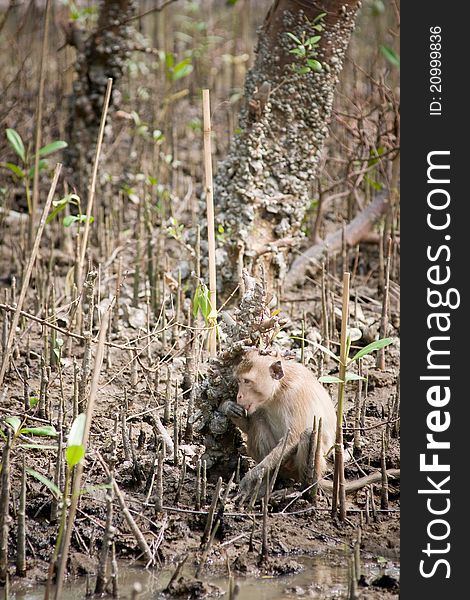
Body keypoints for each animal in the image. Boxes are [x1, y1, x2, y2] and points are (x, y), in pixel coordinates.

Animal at [221, 352, 400, 502]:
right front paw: (229, 408)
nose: (239, 396)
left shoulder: (295, 395)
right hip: (284, 466)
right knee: (259, 422)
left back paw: (301, 490)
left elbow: (292, 439)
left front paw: (250, 477)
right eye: (239, 381)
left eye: (247, 381)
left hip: (305, 465)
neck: (279, 390)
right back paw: (266, 484)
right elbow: (251, 424)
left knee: (308, 435)